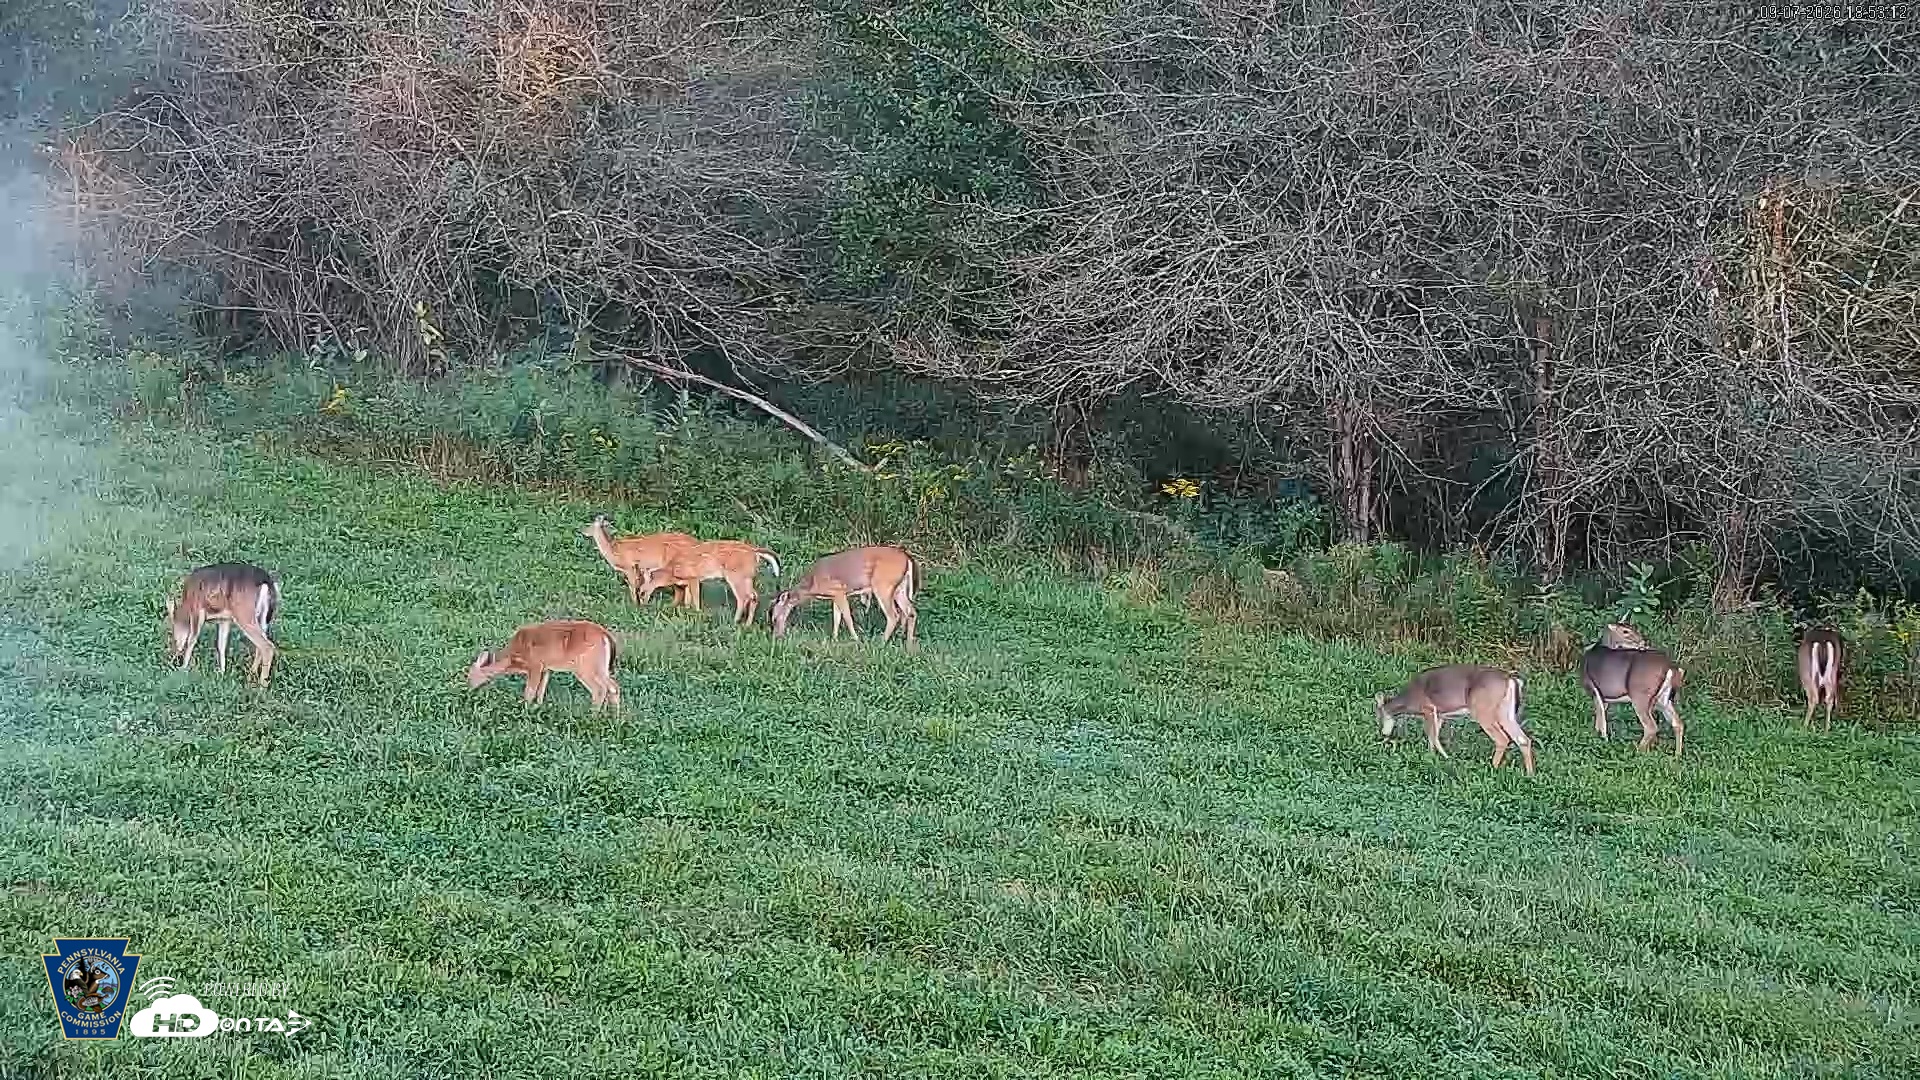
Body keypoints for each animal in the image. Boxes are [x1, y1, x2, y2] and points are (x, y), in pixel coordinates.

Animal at [467, 620, 621, 710]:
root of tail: (606, 636)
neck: (512, 658)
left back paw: (593, 715)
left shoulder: (535, 665)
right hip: (601, 666)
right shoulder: (546, 668)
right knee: (613, 687)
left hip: (584, 665)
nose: (469, 689)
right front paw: (538, 708)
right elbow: (541, 691)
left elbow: (529, 692)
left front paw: (525, 711)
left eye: (470, 676)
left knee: (599, 689)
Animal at [638, 540, 781, 624]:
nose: (642, 606)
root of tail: (755, 551)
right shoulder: (687, 582)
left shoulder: (694, 577)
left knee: (743, 597)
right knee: (754, 596)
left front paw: (697, 614)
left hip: (735, 575)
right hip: (748, 577)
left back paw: (735, 621)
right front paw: (685, 612)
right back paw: (747, 624)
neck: (673, 571)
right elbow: (687, 600)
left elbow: (695, 599)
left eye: (641, 592)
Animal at [768, 545, 920, 651]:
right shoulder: (835, 595)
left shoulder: (839, 590)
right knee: (911, 612)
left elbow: (847, 616)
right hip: (900, 588)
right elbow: (837, 617)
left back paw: (881, 643)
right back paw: (908, 644)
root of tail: (907, 559)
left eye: (774, 618)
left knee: (894, 615)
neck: (813, 584)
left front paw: (856, 639)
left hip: (883, 585)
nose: (777, 636)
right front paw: (834, 639)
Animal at [1375, 664, 1534, 776]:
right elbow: (1433, 737)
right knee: (1523, 739)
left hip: (1482, 709)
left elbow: (1432, 735)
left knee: (1502, 738)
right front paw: (1432, 757)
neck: (1410, 700)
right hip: (1505, 711)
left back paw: (1492, 768)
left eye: (1379, 716)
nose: (1383, 734)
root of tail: (1511, 679)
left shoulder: (1429, 708)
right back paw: (1530, 774)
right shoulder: (1439, 714)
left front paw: (1442, 757)